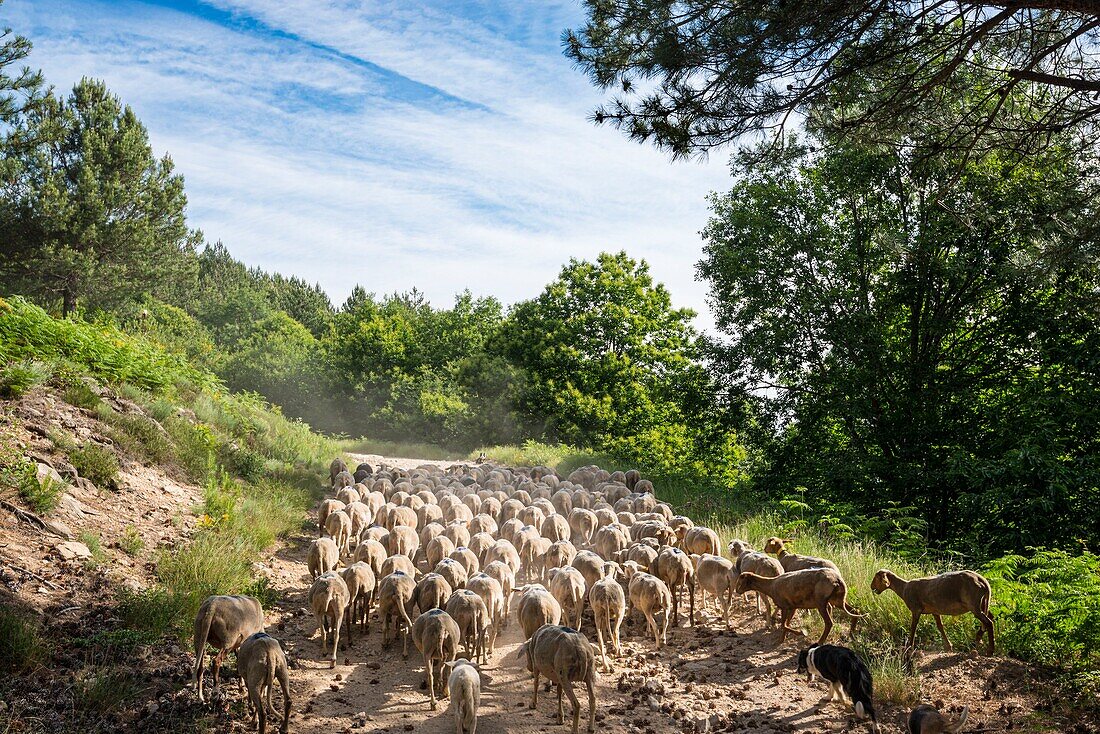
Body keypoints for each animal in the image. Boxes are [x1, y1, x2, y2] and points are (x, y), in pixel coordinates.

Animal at [734, 567, 862, 642]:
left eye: (741, 580)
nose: (737, 591)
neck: (770, 585)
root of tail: (837, 580)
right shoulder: (793, 606)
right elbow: (786, 624)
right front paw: (782, 639)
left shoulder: (785, 606)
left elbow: (783, 625)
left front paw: (801, 633)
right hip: (837, 599)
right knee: (855, 611)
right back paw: (852, 634)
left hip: (821, 602)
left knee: (829, 623)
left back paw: (819, 642)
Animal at [866, 567, 998, 655]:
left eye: (876, 578)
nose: (871, 587)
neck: (903, 588)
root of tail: (983, 581)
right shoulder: (935, 610)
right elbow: (940, 626)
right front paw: (948, 646)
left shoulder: (916, 609)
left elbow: (913, 627)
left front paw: (909, 646)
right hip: (982, 603)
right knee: (990, 618)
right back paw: (977, 640)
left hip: (974, 604)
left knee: (988, 622)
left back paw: (990, 650)